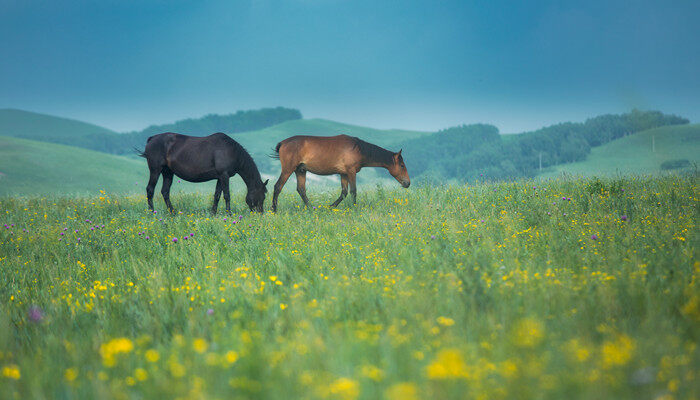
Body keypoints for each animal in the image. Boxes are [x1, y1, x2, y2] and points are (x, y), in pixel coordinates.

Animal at [137, 131, 268, 212]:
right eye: (262, 196)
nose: (260, 214)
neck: (232, 151)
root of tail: (151, 139)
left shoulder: (220, 177)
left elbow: (217, 195)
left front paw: (213, 213)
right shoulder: (224, 175)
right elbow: (227, 195)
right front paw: (229, 214)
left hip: (168, 172)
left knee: (165, 192)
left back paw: (172, 213)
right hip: (155, 170)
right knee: (150, 190)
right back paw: (152, 213)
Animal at [270, 134, 410, 211]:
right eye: (402, 165)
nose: (407, 183)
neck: (358, 148)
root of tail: (283, 143)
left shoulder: (343, 174)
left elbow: (344, 192)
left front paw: (331, 206)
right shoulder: (351, 172)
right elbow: (353, 191)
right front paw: (354, 208)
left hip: (300, 170)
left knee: (301, 190)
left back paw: (311, 208)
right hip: (288, 170)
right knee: (278, 187)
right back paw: (274, 209)